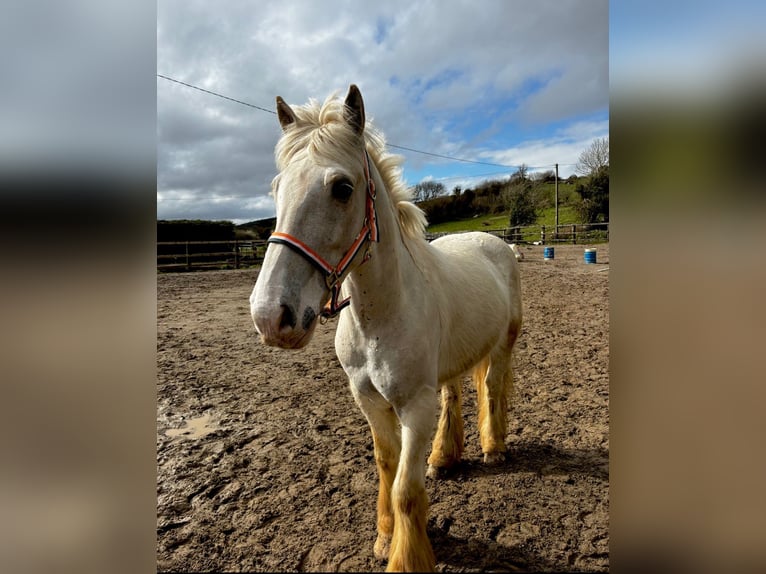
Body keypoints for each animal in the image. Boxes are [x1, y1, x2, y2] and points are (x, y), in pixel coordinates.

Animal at [250, 85, 522, 572]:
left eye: (342, 188)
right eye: (277, 188)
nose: (270, 316)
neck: (379, 318)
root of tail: (496, 244)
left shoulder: (414, 406)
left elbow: (406, 490)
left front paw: (405, 556)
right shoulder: (370, 402)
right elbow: (386, 467)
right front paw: (384, 537)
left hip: (503, 346)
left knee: (493, 389)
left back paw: (494, 448)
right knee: (454, 396)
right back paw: (443, 458)